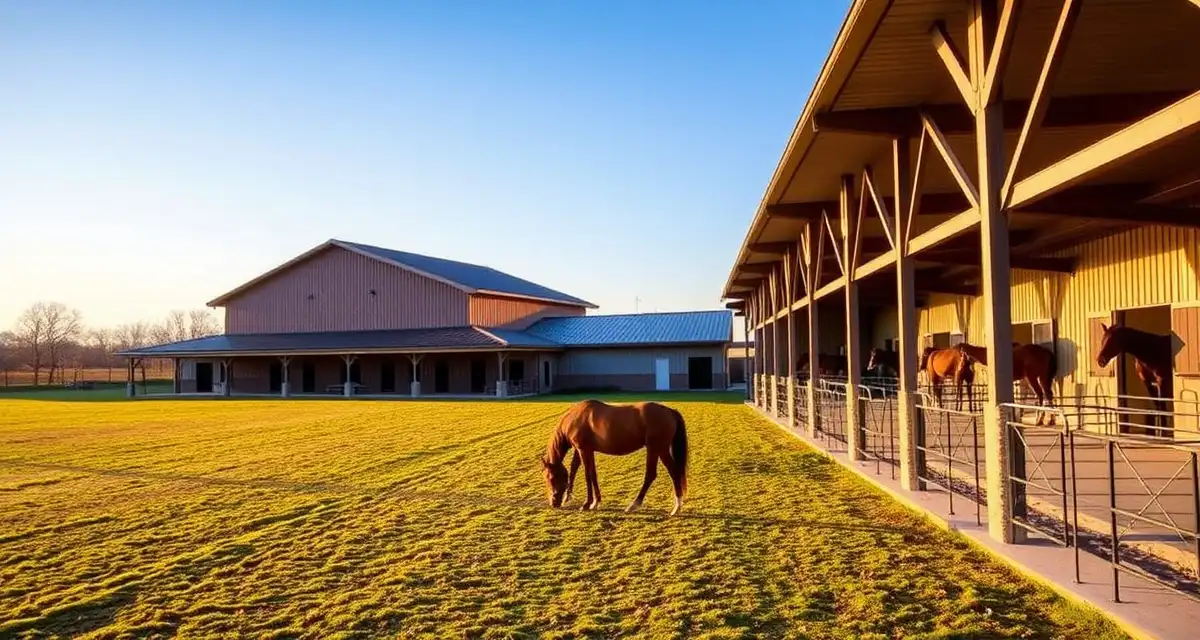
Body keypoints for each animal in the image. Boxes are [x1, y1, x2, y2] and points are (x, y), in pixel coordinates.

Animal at [541, 399, 689, 515]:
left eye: (550, 477)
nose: (554, 502)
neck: (576, 417)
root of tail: (670, 411)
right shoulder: (585, 450)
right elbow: (585, 472)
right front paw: (594, 502)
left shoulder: (583, 450)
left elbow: (587, 474)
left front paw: (586, 504)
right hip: (658, 449)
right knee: (670, 472)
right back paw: (676, 506)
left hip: (657, 449)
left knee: (660, 473)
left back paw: (638, 505)